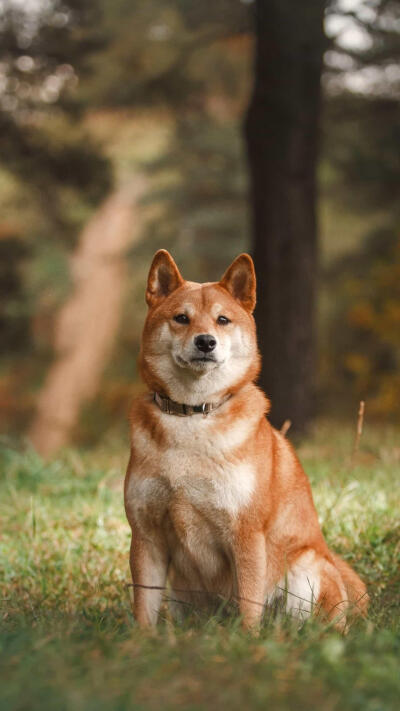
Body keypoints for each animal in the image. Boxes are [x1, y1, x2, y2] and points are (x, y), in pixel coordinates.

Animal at [123, 250, 368, 628]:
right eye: (181, 318)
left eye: (223, 320)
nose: (205, 341)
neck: (194, 415)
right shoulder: (146, 534)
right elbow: (144, 606)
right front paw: (140, 640)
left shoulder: (247, 534)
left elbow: (250, 604)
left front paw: (249, 640)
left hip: (305, 569)